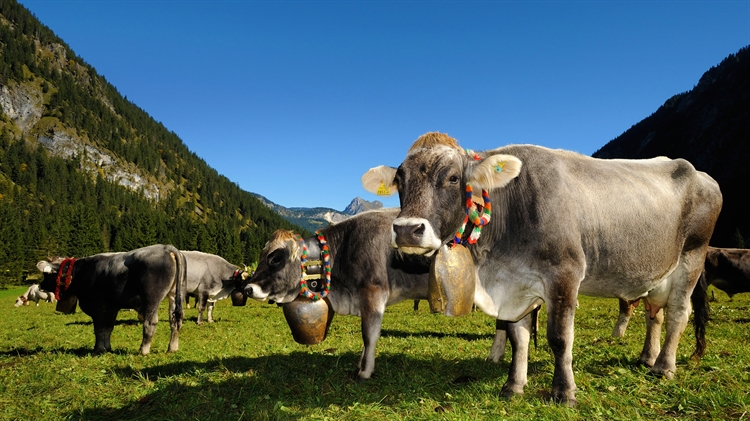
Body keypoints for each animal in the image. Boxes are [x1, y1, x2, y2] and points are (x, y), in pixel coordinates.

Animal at [36, 243, 187, 354]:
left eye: (46, 275)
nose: (41, 285)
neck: (82, 272)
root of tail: (165, 247)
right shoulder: (112, 307)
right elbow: (108, 328)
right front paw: (107, 348)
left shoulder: (97, 306)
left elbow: (99, 329)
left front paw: (98, 349)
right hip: (174, 294)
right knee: (175, 320)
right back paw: (172, 348)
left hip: (151, 298)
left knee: (151, 323)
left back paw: (143, 350)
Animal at [244, 208, 536, 378]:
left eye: (275, 258)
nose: (247, 287)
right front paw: (360, 364)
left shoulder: (372, 293)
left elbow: (369, 334)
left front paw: (365, 371)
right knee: (503, 322)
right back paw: (494, 356)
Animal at [362, 132, 724, 404]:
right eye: (399, 180)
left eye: (452, 178)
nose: (407, 229)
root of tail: (698, 172)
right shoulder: (516, 285)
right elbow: (518, 337)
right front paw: (514, 385)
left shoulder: (564, 275)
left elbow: (560, 338)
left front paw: (564, 392)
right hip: (657, 270)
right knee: (655, 313)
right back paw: (647, 357)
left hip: (691, 256)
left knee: (678, 313)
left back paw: (664, 366)